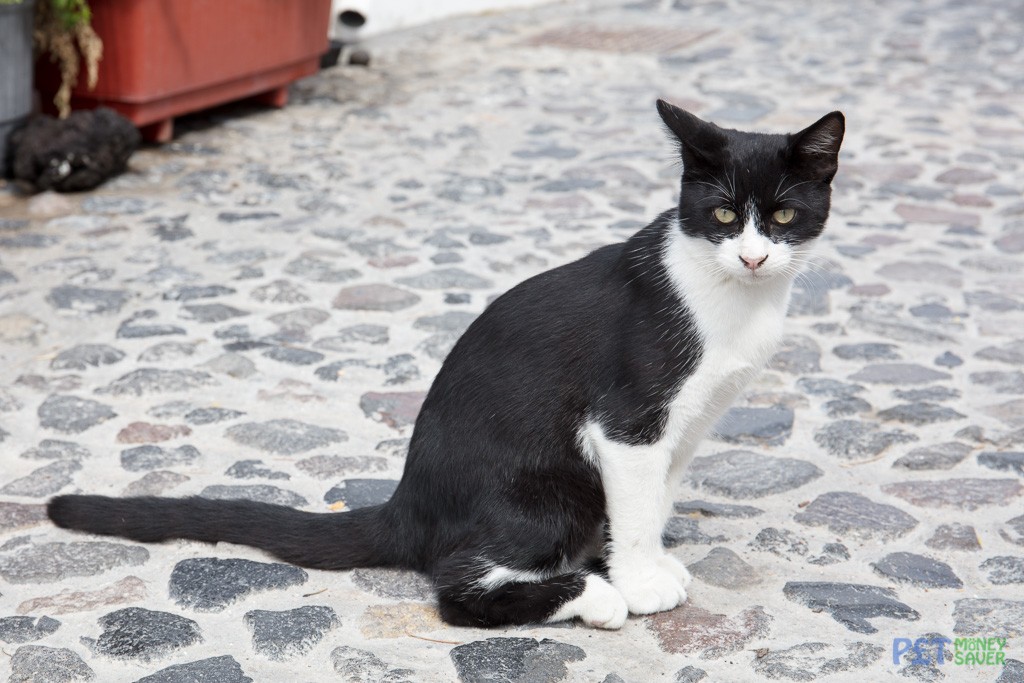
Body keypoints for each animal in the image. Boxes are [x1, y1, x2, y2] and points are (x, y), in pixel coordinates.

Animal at [48, 101, 843, 630]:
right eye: (721, 215)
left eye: (781, 217)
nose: (752, 256)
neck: (732, 298)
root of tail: (410, 505)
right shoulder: (628, 421)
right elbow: (639, 505)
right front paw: (640, 580)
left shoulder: (685, 426)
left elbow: (658, 498)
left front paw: (642, 560)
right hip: (546, 494)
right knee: (458, 588)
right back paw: (592, 595)